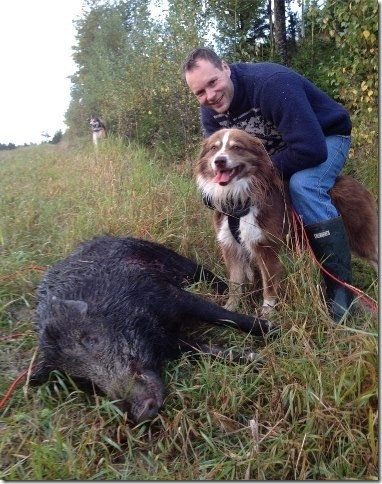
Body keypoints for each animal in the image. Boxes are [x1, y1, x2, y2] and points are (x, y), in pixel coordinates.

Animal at [195, 127, 378, 314]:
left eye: (237, 147)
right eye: (214, 148)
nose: (219, 161)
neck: (239, 200)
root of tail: (358, 185)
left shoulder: (267, 248)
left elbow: (269, 287)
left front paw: (267, 314)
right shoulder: (231, 247)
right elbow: (234, 285)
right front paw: (229, 309)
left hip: (360, 237)